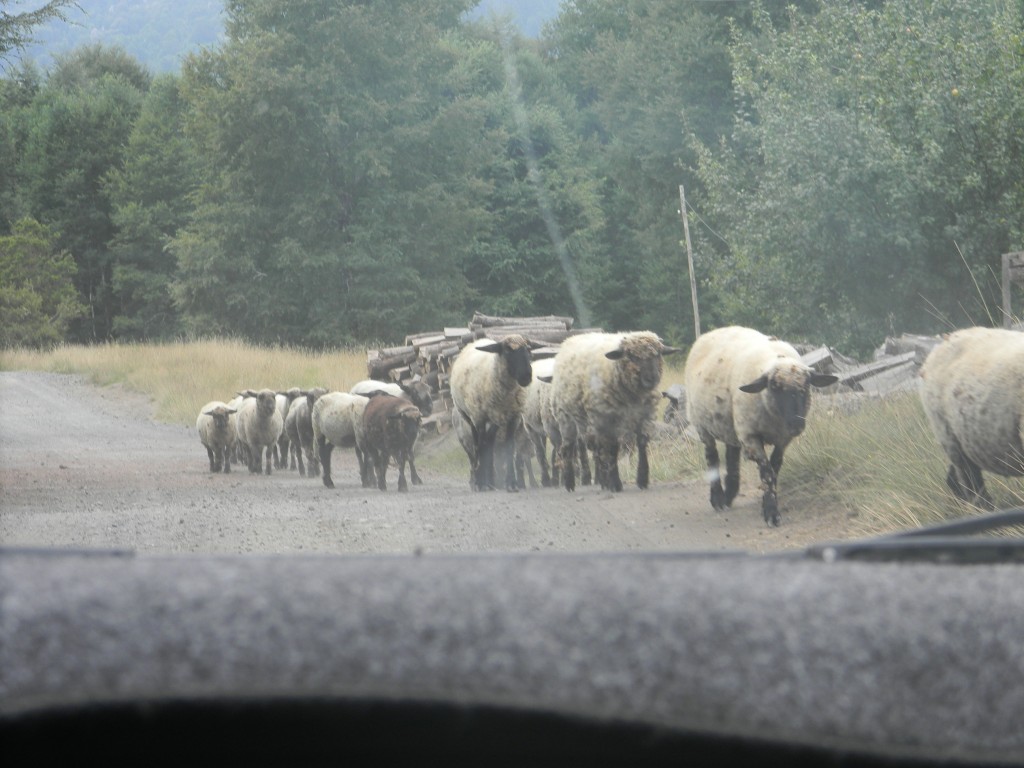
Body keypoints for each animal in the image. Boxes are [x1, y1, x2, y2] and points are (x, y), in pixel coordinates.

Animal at [449, 334, 535, 492]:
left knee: (489, 441)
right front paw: (481, 483)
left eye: (527, 349)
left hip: (496, 418)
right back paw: (481, 481)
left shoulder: (513, 418)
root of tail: (475, 342)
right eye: (507, 351)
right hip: (471, 418)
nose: (526, 376)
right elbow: (482, 446)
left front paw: (511, 484)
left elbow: (509, 447)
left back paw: (491, 481)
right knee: (479, 444)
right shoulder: (479, 418)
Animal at [551, 331, 679, 493]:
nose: (651, 379)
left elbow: (642, 445)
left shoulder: (644, 416)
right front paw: (615, 484)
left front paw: (642, 479)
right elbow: (612, 449)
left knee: (598, 450)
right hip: (566, 417)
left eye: (658, 355)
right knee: (567, 448)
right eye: (632, 356)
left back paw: (603, 482)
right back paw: (569, 484)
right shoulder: (607, 420)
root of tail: (568, 340)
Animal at [683, 326, 838, 527]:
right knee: (712, 457)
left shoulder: (783, 439)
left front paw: (767, 504)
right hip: (702, 424)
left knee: (732, 455)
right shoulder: (750, 435)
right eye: (774, 386)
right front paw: (772, 513)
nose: (797, 424)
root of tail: (715, 331)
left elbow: (775, 468)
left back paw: (729, 494)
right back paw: (717, 499)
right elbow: (767, 472)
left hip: (731, 426)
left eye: (806, 387)